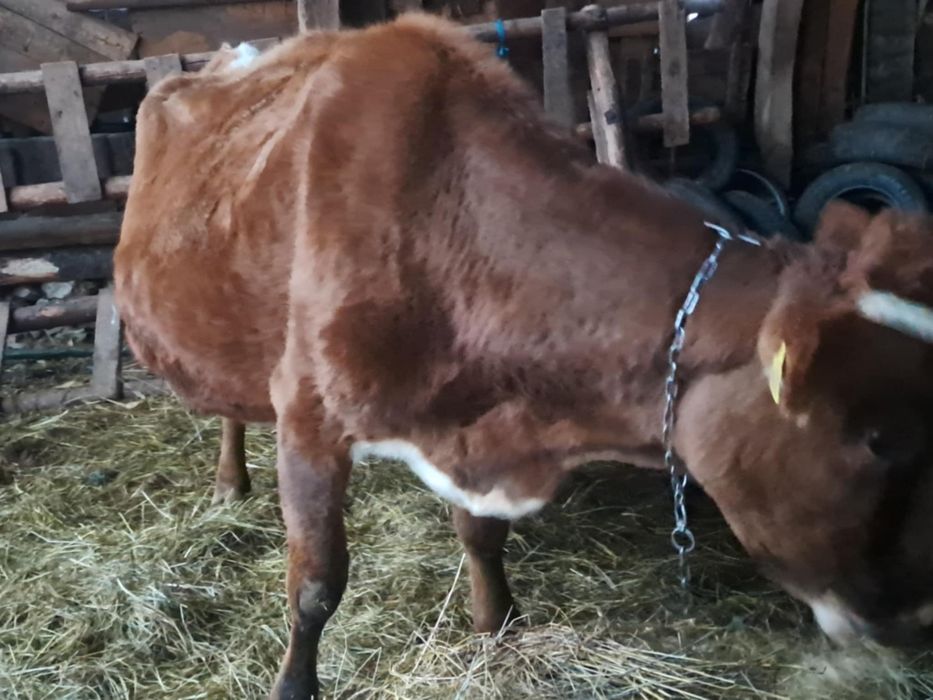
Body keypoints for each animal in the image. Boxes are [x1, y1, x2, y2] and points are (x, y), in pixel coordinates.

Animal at [114, 15, 933, 700]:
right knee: (226, 404)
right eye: (877, 441)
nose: (920, 617)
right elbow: (315, 585)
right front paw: (294, 685)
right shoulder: (310, 419)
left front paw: (495, 623)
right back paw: (230, 480)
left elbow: (480, 534)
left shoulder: (469, 414)